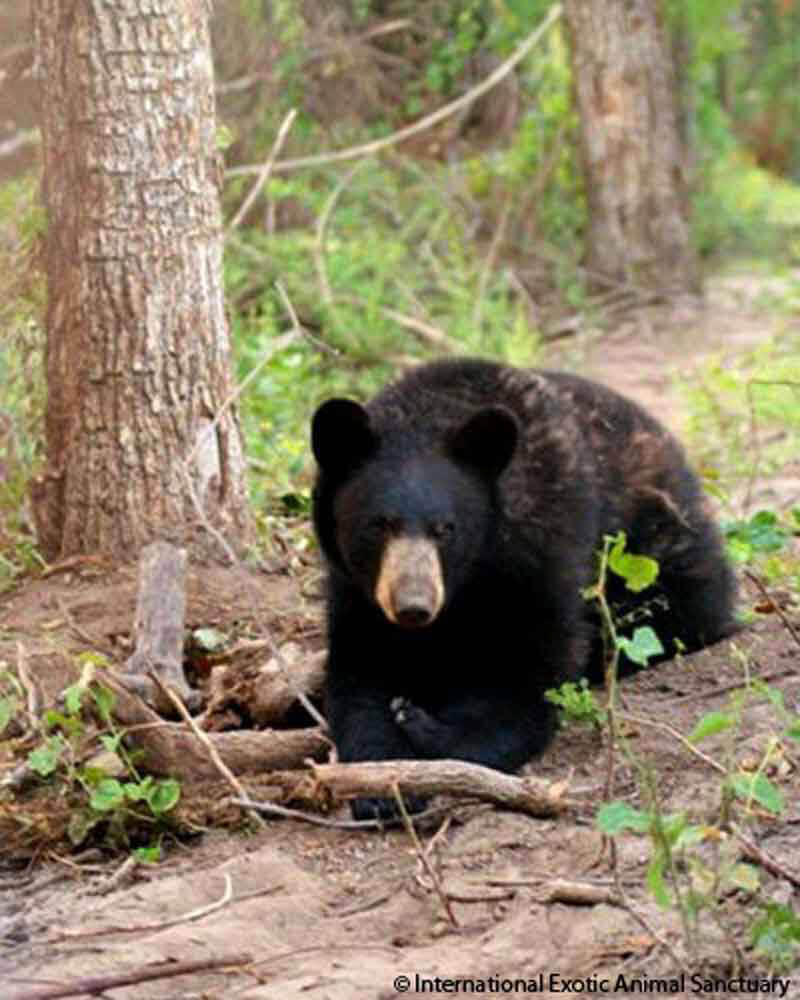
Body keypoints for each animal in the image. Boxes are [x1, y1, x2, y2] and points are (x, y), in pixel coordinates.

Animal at [310, 362, 736, 820]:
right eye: (378, 525)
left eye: (446, 529)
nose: (413, 608)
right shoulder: (355, 588)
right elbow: (360, 674)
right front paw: (382, 788)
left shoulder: (538, 556)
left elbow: (527, 680)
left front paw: (423, 726)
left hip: (659, 551)